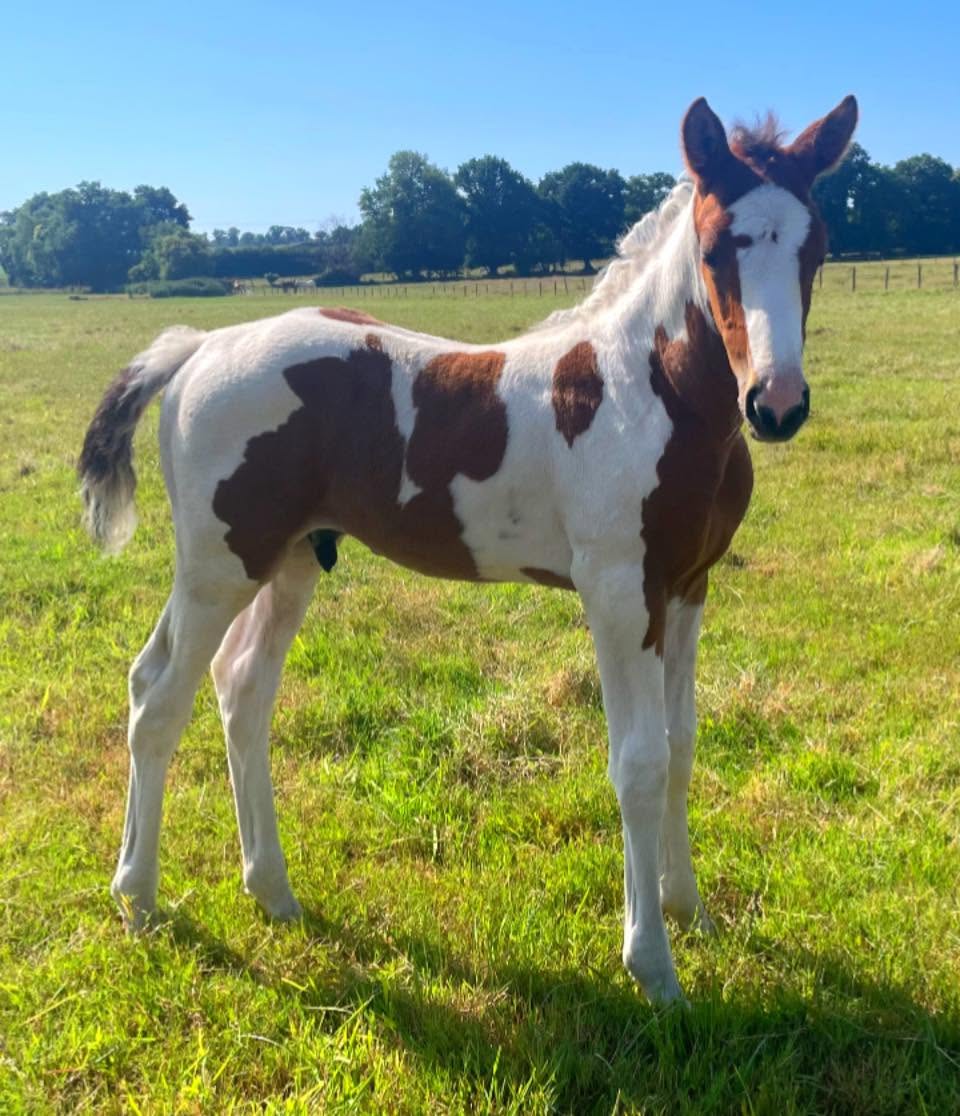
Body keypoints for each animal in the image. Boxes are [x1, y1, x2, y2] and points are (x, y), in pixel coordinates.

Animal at [79, 95, 857, 1003]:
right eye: (713, 249)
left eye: (817, 247)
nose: (776, 403)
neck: (647, 394)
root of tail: (198, 348)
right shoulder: (618, 591)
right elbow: (637, 762)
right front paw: (654, 967)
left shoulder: (687, 587)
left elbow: (681, 745)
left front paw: (688, 908)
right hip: (217, 565)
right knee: (159, 697)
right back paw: (138, 900)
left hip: (292, 559)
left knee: (240, 689)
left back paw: (272, 892)